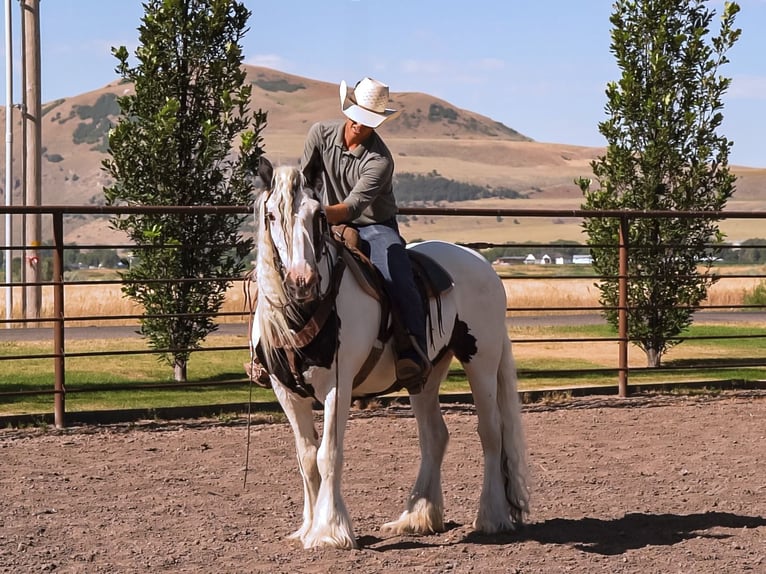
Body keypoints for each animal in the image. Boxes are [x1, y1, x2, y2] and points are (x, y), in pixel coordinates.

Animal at [250, 158, 529, 549]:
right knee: (435, 436)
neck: (302, 312)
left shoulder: (339, 387)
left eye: (318, 214)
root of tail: (480, 261)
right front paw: (307, 527)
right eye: (271, 214)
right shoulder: (285, 391)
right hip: (427, 373)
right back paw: (417, 517)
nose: (301, 281)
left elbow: (328, 454)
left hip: (482, 361)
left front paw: (330, 531)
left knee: (491, 432)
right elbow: (306, 457)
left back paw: (491, 517)